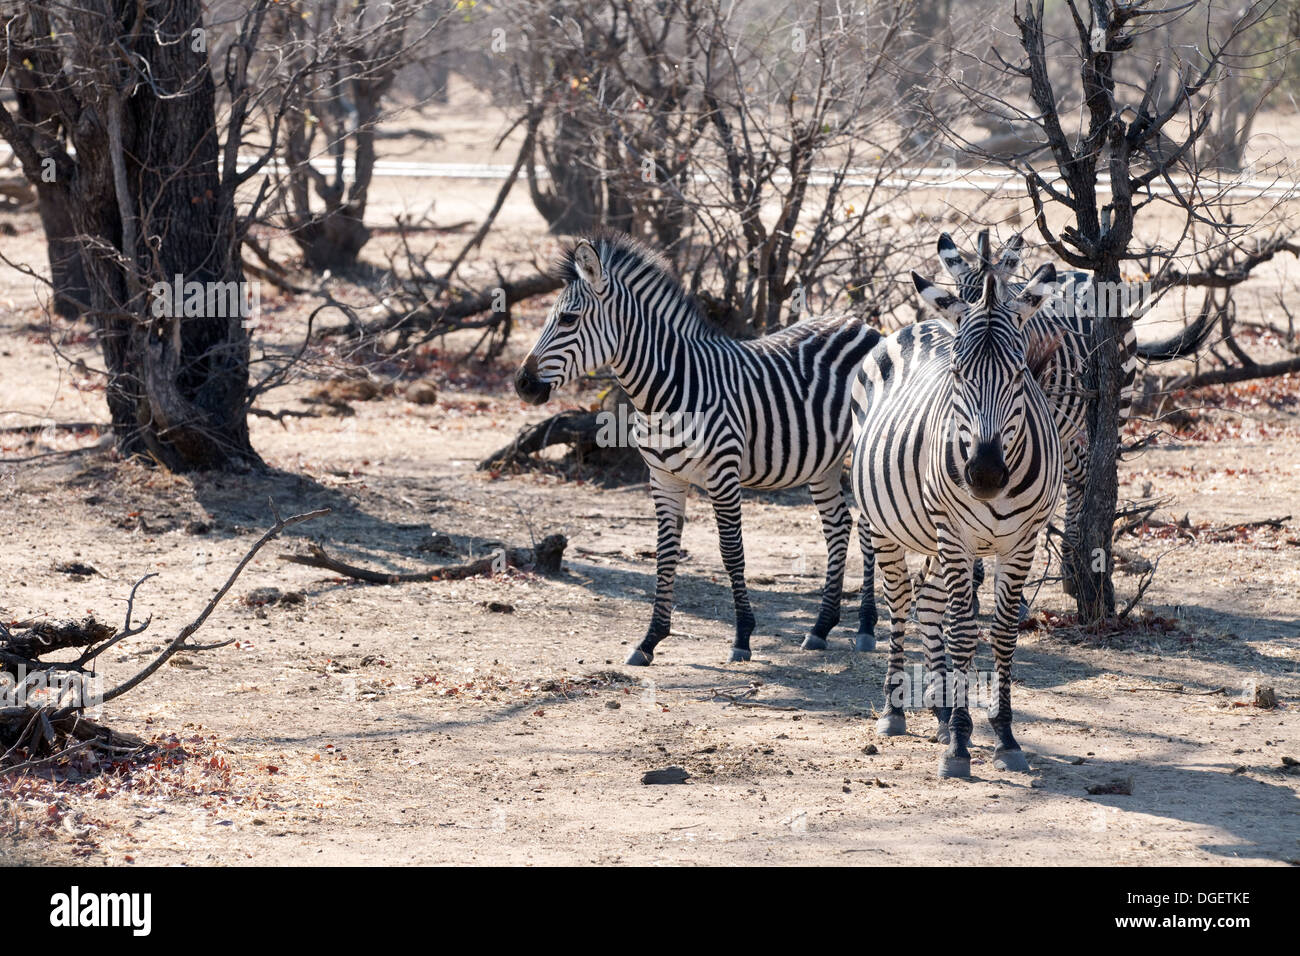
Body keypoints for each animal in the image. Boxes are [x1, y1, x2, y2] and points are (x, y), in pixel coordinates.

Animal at [512, 231, 878, 665]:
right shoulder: (663, 479)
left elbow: (731, 551)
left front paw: (742, 636)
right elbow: (665, 552)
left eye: (568, 319)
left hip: (864, 449)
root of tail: (860, 322)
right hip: (823, 461)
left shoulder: (723, 476)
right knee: (838, 524)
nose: (522, 384)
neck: (662, 393)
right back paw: (821, 627)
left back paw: (867, 627)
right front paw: (649, 640)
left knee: (870, 527)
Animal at [852, 239, 1066, 780]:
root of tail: (919, 326)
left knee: (928, 602)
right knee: (901, 601)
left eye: (1019, 375)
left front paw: (1003, 735)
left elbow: (1003, 633)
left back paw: (942, 711)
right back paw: (897, 710)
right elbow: (964, 631)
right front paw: (959, 746)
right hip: (888, 528)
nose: (985, 476)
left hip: (935, 538)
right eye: (956, 374)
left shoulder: (1022, 540)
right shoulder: (955, 533)